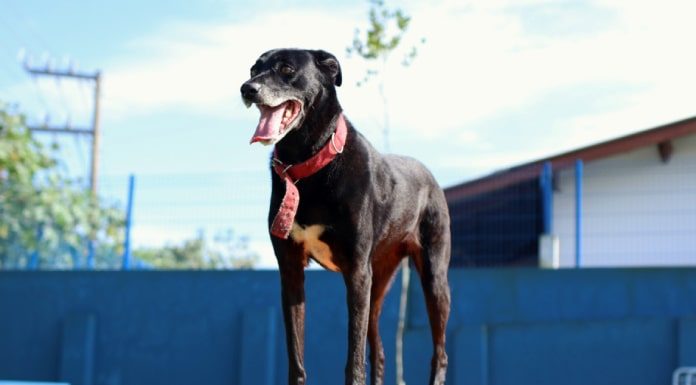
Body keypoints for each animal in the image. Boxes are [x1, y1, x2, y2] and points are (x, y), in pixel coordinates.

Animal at [242, 48, 452, 384]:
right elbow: (295, 354)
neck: (310, 164)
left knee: (440, 352)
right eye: (253, 69)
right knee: (379, 350)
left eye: (286, 69)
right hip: (378, 282)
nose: (246, 89)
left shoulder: (356, 272)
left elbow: (354, 357)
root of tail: (429, 174)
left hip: (433, 278)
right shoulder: (291, 269)